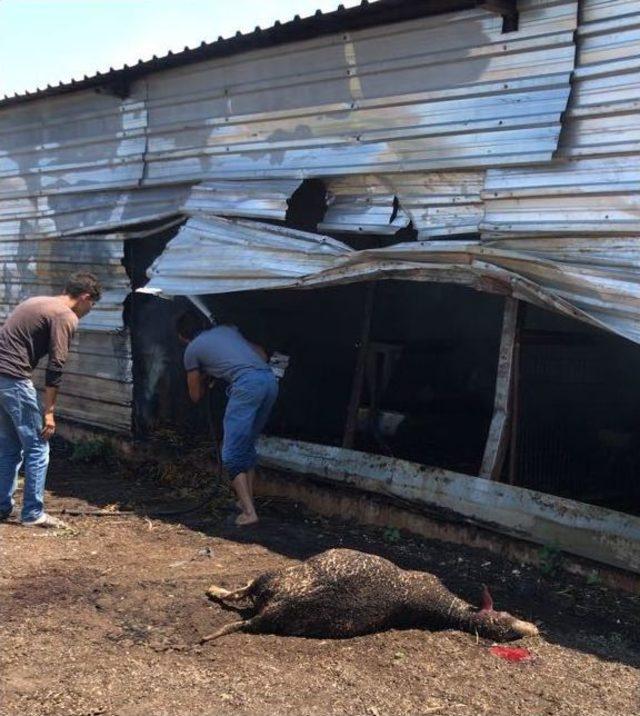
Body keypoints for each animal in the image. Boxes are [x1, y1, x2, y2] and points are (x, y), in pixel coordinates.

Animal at [201, 548, 540, 644]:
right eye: (506, 622)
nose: (534, 630)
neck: (447, 609)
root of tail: (270, 613)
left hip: (275, 577)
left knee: (243, 589)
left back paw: (217, 590)